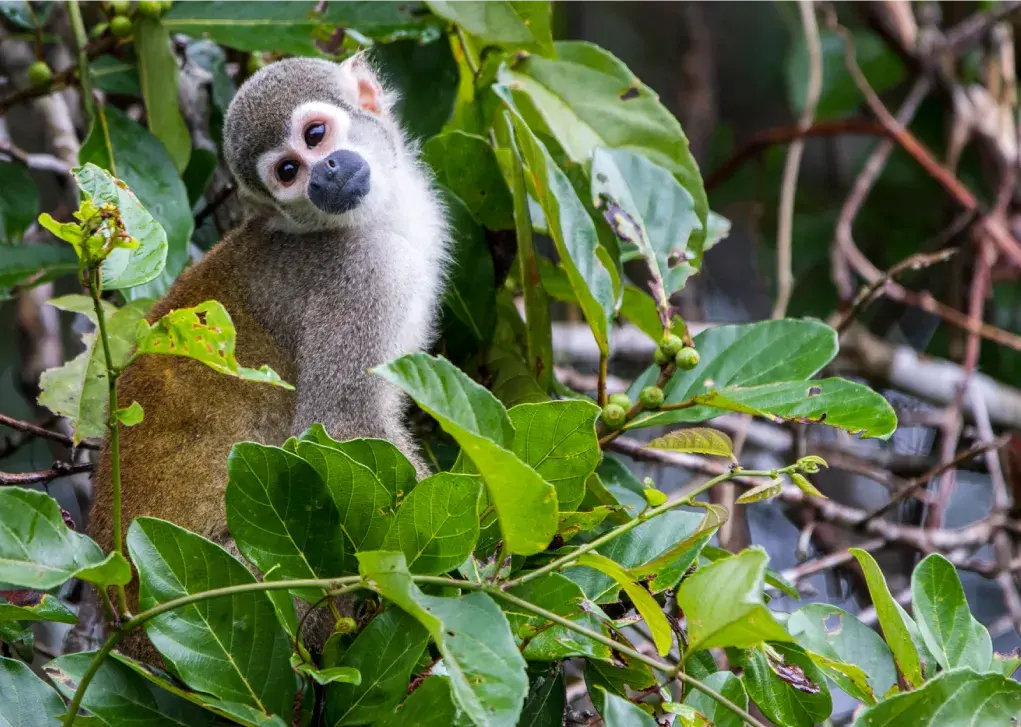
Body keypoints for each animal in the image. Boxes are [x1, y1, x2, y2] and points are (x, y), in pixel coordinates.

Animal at [74, 55, 449, 657]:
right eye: (289, 172)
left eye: (316, 136)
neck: (372, 219)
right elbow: (342, 426)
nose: (326, 173)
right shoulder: (363, 276)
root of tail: (124, 634)